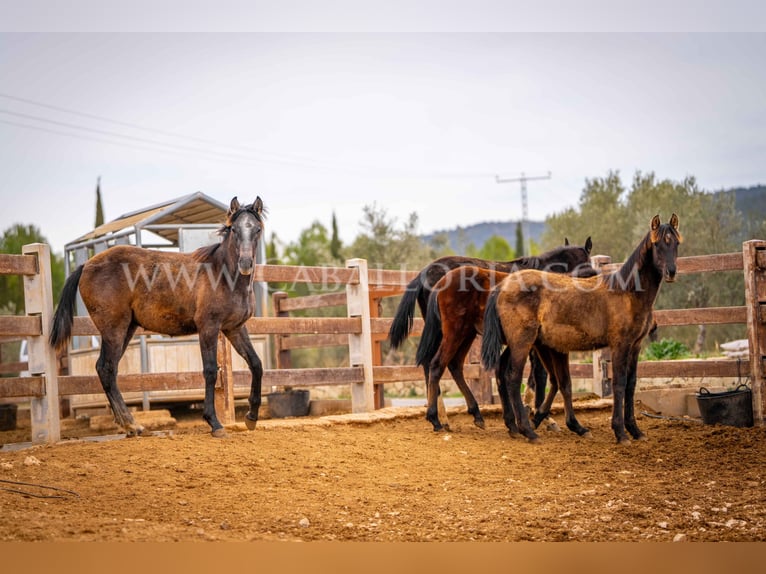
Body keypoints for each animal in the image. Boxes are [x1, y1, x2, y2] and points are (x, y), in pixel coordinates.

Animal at [50, 196, 268, 438]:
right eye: (234, 229)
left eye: (257, 229)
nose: (246, 264)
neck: (223, 276)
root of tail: (86, 265)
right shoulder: (208, 328)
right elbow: (211, 370)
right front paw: (215, 423)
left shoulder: (234, 328)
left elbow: (256, 364)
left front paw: (251, 417)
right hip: (113, 329)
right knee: (106, 368)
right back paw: (131, 424)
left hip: (127, 329)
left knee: (107, 369)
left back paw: (129, 425)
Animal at [486, 216, 684, 446]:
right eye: (657, 244)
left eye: (676, 243)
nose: (671, 272)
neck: (627, 292)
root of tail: (502, 287)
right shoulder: (620, 346)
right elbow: (619, 383)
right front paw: (620, 432)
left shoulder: (635, 346)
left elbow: (631, 385)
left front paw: (635, 430)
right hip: (522, 343)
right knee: (513, 378)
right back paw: (529, 431)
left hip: (519, 343)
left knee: (504, 373)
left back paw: (516, 426)